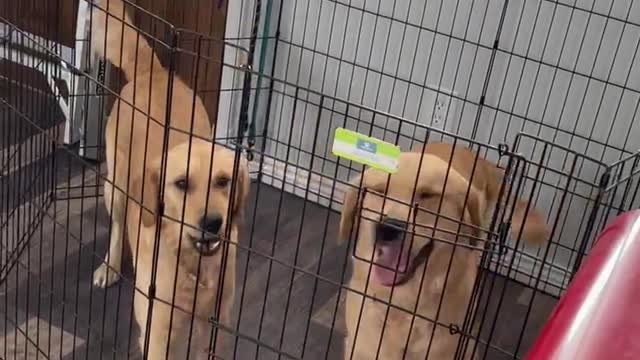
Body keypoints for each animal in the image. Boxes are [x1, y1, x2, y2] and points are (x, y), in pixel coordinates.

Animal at [89, 0, 249, 358]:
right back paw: (109, 268)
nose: (212, 223)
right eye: (181, 184)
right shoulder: (158, 331)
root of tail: (155, 72)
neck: (193, 266)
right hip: (115, 188)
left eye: (223, 181)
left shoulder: (216, 328)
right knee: (117, 228)